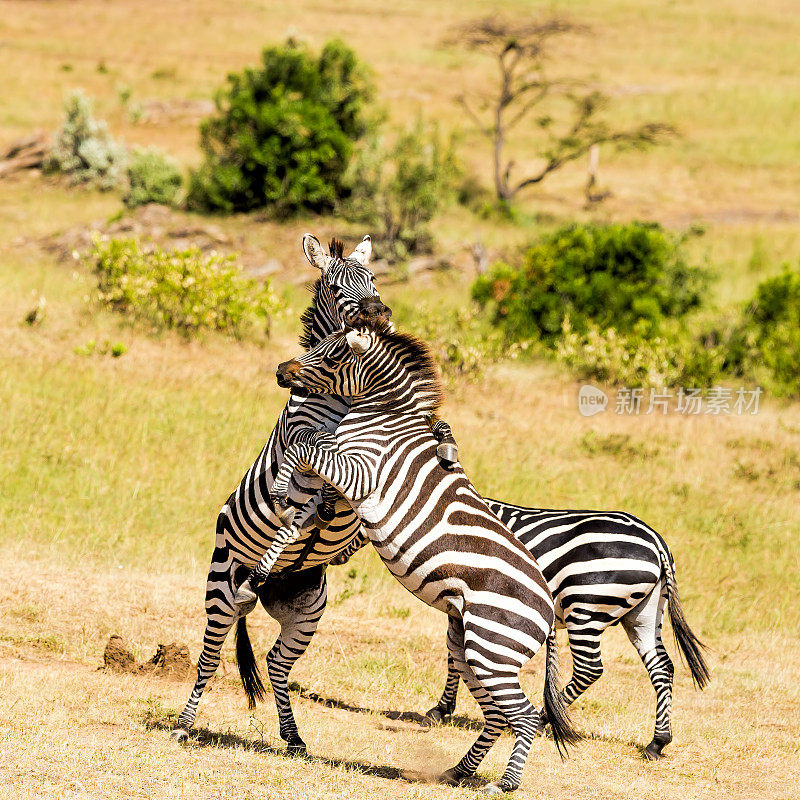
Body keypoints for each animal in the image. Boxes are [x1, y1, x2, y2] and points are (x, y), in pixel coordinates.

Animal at [172, 230, 394, 752]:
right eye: (336, 286)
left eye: (373, 277)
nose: (377, 313)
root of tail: (265, 591)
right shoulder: (304, 452)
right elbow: (306, 472)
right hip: (220, 586)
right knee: (210, 656)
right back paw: (184, 724)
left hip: (307, 608)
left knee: (276, 662)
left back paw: (293, 738)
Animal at [239, 318, 580, 792]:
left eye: (331, 354)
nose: (279, 370)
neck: (384, 415)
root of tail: (549, 613)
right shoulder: (341, 483)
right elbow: (301, 506)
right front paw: (262, 565)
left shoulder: (360, 473)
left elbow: (309, 443)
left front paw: (283, 480)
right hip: (468, 646)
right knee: (496, 715)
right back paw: (457, 771)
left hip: (492, 648)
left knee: (525, 716)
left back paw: (504, 783)